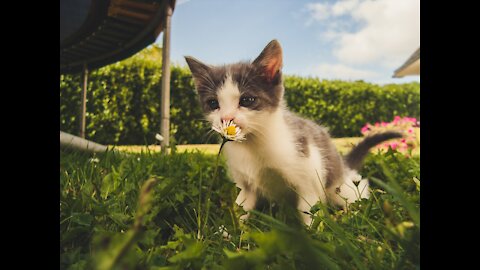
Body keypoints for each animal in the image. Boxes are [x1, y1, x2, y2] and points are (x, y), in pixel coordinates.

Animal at [184, 38, 402, 224]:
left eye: (247, 100)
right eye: (213, 103)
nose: (226, 118)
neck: (254, 144)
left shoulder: (309, 174)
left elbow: (309, 210)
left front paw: (315, 237)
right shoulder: (246, 185)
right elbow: (240, 208)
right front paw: (227, 233)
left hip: (339, 185)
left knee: (356, 189)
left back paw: (352, 214)